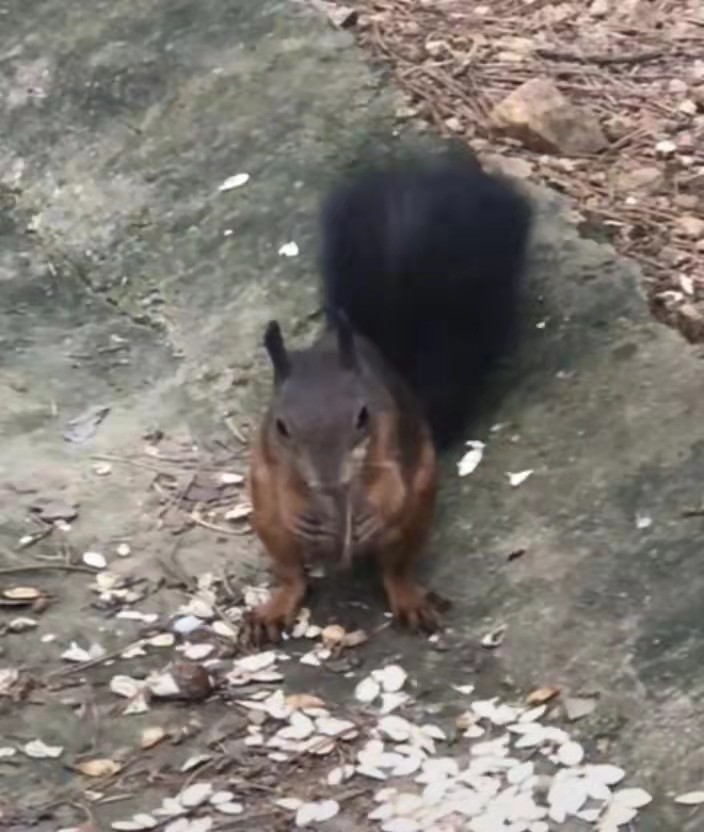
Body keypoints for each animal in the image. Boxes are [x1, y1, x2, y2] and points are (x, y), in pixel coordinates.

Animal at [246, 146, 532, 643]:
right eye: (281, 426)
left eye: (363, 416)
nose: (328, 481)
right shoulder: (267, 458)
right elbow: (284, 487)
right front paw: (304, 509)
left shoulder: (393, 438)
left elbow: (389, 489)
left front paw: (369, 514)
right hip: (266, 522)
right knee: (292, 576)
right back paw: (275, 608)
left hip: (415, 517)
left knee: (394, 570)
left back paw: (409, 600)